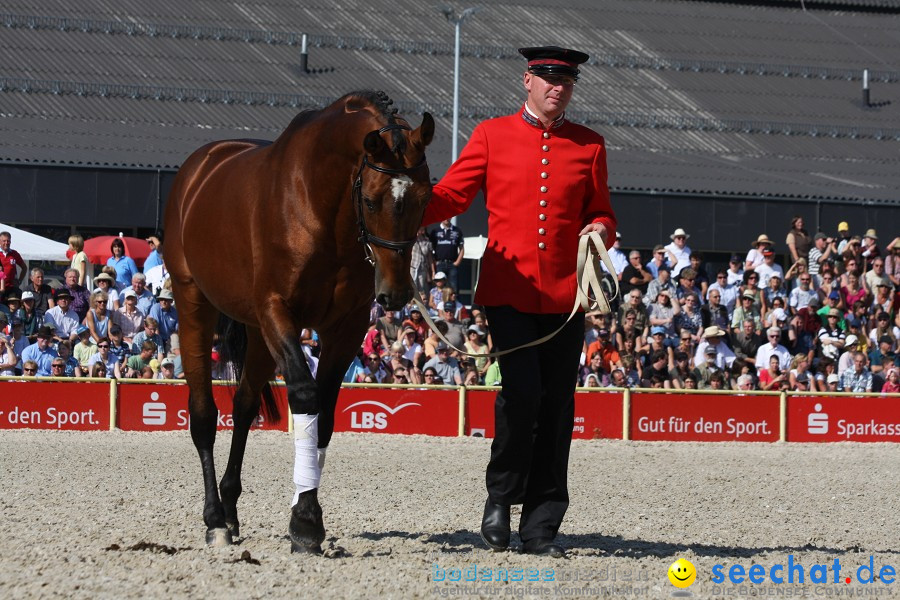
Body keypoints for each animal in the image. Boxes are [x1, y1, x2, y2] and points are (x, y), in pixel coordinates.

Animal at [167, 92, 438, 552]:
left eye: (424, 198)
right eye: (371, 199)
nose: (397, 294)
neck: (318, 206)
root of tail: (198, 167)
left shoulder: (345, 327)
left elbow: (324, 413)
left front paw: (307, 515)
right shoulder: (279, 312)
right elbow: (306, 396)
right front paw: (306, 520)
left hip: (257, 334)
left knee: (243, 407)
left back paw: (231, 510)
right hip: (194, 306)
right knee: (203, 415)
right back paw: (215, 520)